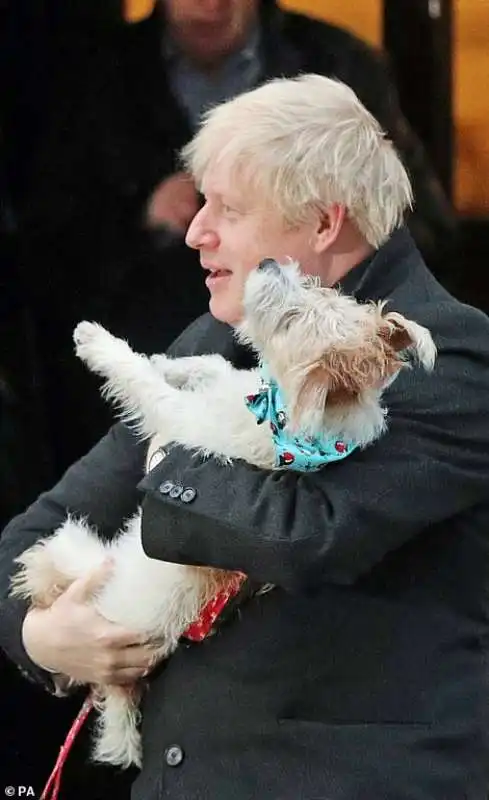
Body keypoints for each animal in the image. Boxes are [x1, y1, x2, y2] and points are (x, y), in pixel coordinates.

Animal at [9, 260, 434, 772]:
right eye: (314, 290)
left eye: (292, 318)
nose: (271, 263)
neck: (277, 414)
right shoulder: (228, 386)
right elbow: (213, 365)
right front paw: (170, 362)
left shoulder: (181, 423)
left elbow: (144, 384)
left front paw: (97, 341)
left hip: (97, 569)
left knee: (58, 562)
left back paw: (42, 563)